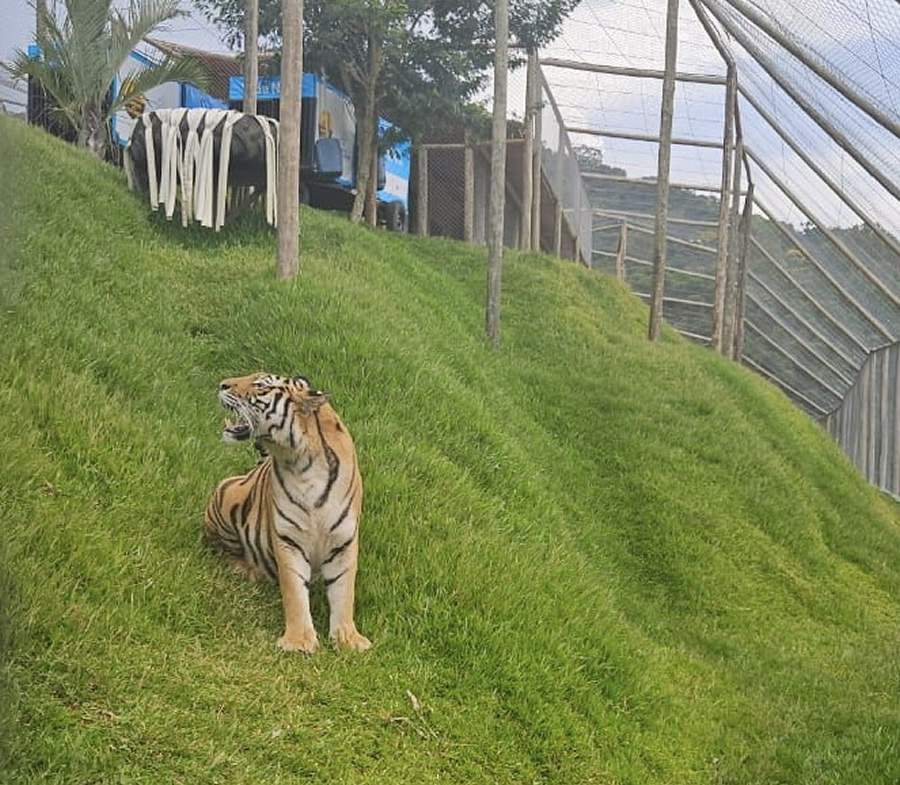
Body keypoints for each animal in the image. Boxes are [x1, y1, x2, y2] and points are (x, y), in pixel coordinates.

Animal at [204, 372, 371, 654]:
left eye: (261, 385)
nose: (222, 385)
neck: (302, 462)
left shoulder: (344, 542)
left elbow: (344, 591)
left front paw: (348, 639)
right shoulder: (288, 540)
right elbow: (294, 592)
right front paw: (299, 642)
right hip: (226, 497)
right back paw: (248, 570)